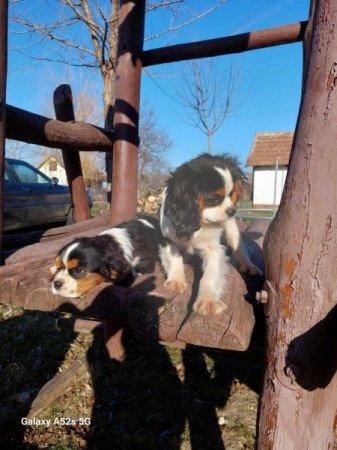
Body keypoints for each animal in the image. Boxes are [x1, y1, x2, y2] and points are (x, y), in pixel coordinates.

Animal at [159, 155, 260, 316]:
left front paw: (207, 300)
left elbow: (210, 274)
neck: (198, 222)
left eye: (231, 194)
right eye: (213, 198)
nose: (232, 210)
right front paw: (176, 280)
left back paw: (248, 265)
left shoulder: (214, 249)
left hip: (231, 229)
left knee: (239, 247)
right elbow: (174, 257)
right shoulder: (167, 238)